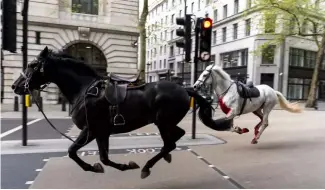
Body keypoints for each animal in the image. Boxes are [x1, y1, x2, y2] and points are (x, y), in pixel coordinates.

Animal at [12, 46, 230, 179]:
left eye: (32, 65)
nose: (16, 86)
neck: (83, 90)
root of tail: (185, 88)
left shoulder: (91, 130)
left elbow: (73, 151)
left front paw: (94, 167)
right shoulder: (102, 132)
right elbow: (103, 158)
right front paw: (115, 166)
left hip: (162, 122)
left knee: (170, 142)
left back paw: (147, 167)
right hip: (165, 122)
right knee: (176, 137)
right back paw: (164, 157)